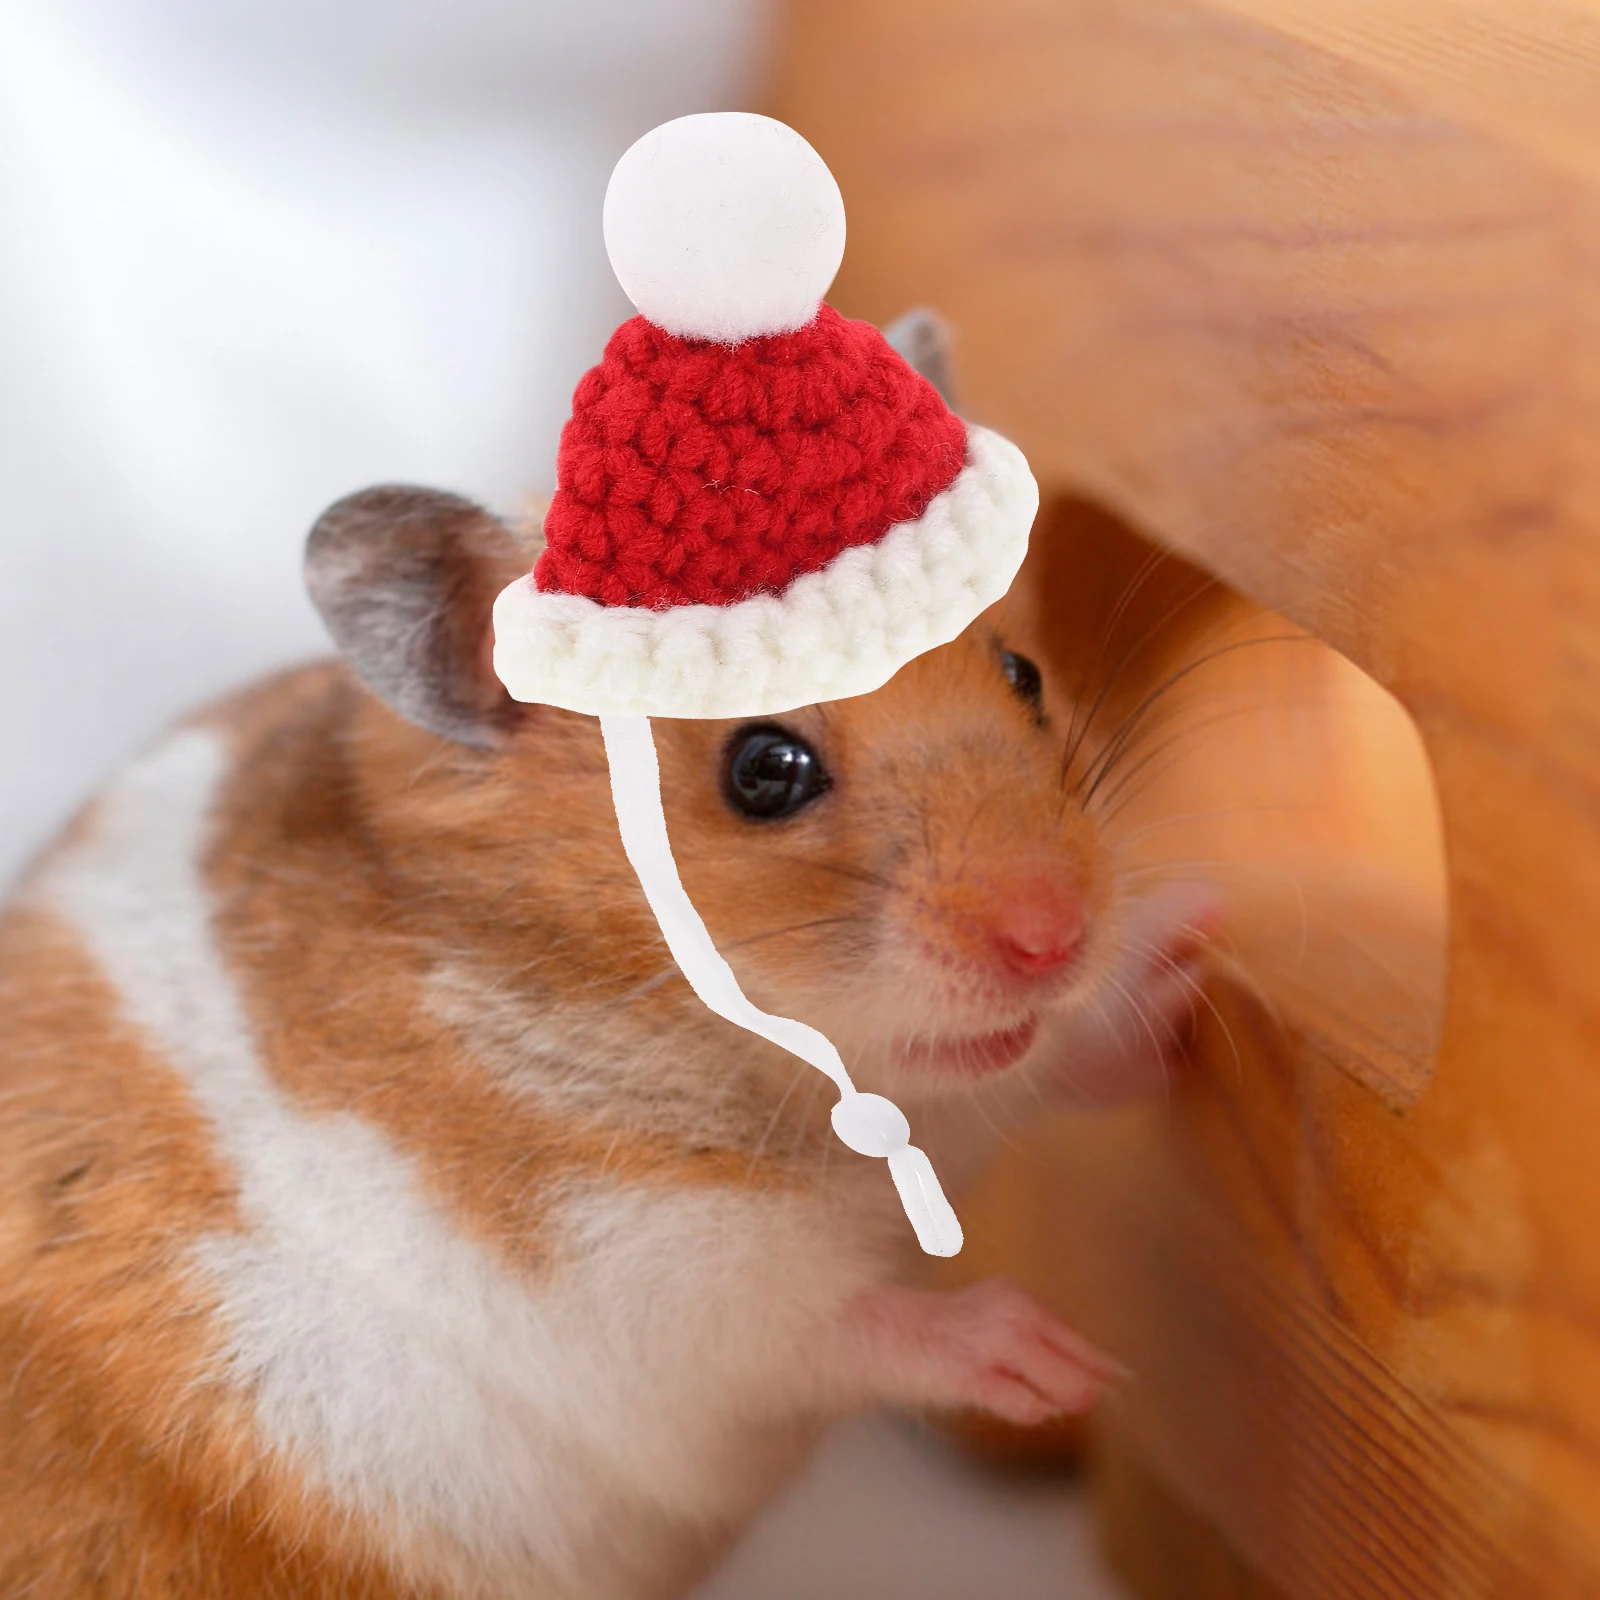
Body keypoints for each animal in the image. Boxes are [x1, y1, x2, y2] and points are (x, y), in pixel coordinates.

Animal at [0, 485, 1213, 1600]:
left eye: (1023, 673)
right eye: (763, 769)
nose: (1056, 936)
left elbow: (1030, 1072)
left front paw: (1190, 960)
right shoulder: (640, 1270)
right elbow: (832, 1323)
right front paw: (1063, 1363)